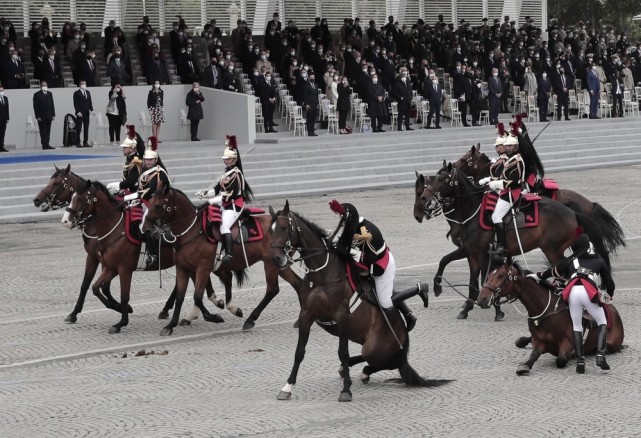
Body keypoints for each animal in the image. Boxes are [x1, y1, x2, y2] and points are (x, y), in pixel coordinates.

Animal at [36, 166, 225, 326]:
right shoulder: (97, 259)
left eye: (57, 183)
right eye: (72, 196)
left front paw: (122, 308)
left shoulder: (114, 264)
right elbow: (89, 285)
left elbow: (105, 288)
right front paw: (75, 313)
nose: (36, 200)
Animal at [141, 181, 304, 336]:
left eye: (157, 205)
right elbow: (180, 297)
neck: (191, 231)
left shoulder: (203, 268)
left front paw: (214, 317)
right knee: (297, 283)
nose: (146, 228)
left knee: (272, 289)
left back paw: (249, 319)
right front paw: (170, 325)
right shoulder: (183, 268)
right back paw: (298, 319)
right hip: (280, 263)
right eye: (150, 203)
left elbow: (197, 296)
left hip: (271, 263)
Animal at [268, 200, 448, 402]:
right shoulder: (306, 314)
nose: (276, 258)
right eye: (270, 230)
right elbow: (299, 351)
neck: (322, 274)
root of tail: (403, 346)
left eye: (284, 228)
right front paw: (287, 387)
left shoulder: (341, 316)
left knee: (382, 361)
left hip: (374, 348)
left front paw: (346, 390)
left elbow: (343, 352)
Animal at [412, 163, 608, 320]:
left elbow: (484, 279)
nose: (423, 201)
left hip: (552, 250)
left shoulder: (483, 255)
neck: (471, 213)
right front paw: (460, 303)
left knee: (563, 273)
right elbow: (454, 268)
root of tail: (572, 212)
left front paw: (496, 308)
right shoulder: (470, 253)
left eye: (442, 179)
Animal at [478, 258, 624, 374]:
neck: (546, 310)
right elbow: (533, 355)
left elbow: (560, 359)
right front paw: (524, 365)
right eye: (489, 275)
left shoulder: (567, 343)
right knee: (521, 341)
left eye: (501, 275)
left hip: (611, 343)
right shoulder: (539, 341)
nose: (482, 299)